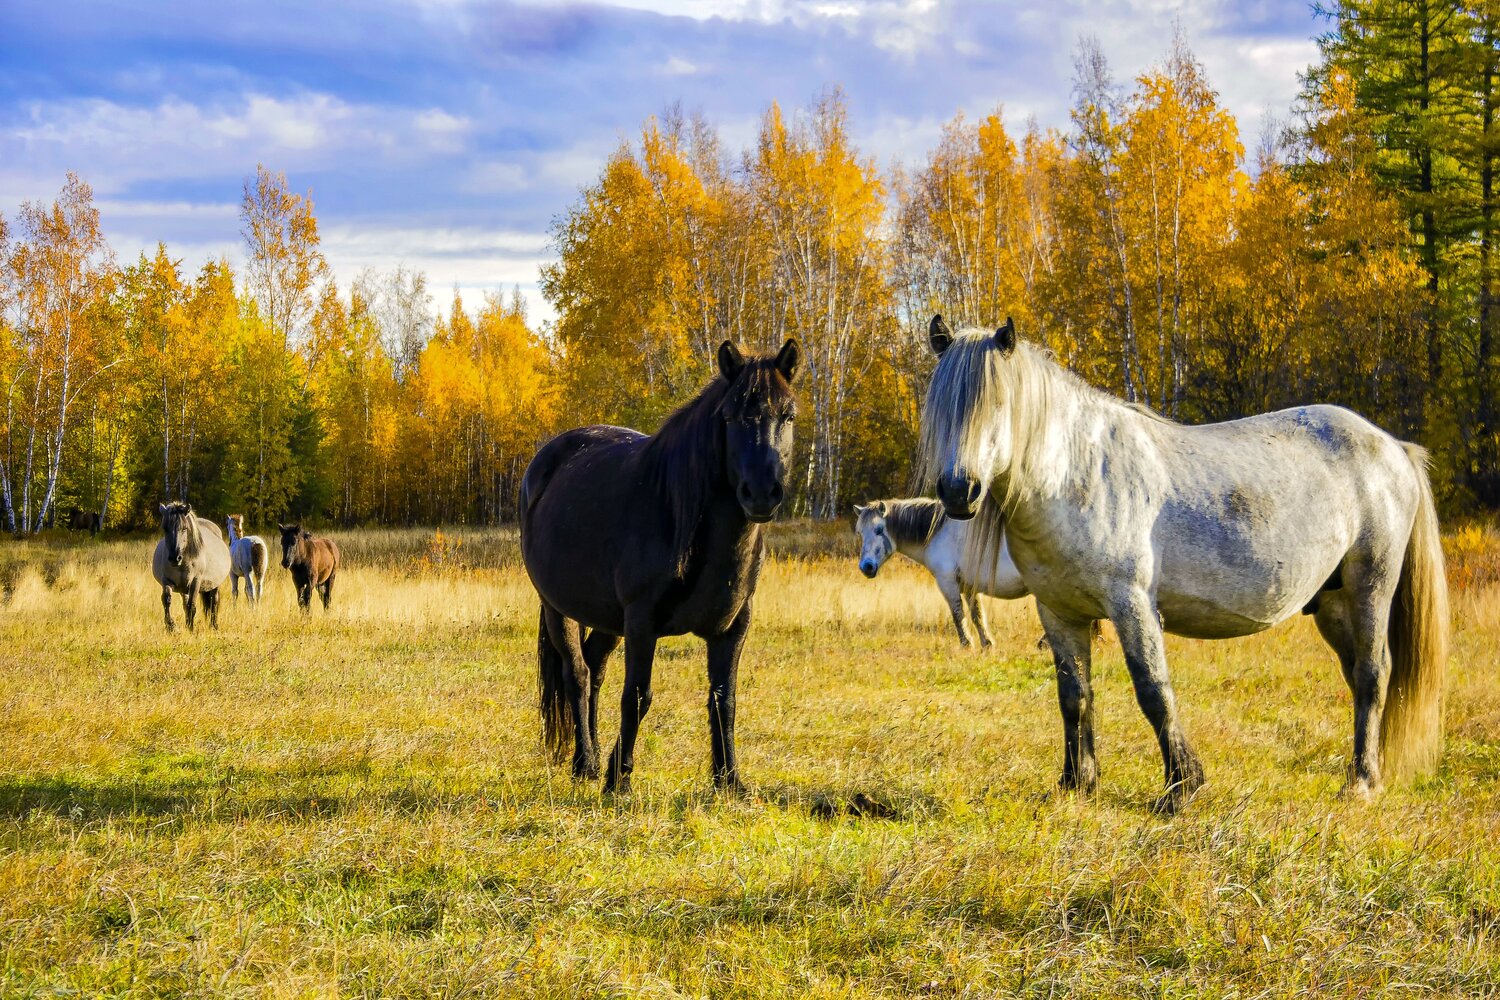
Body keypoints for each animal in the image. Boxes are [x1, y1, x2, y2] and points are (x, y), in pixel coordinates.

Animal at [151, 501, 231, 632]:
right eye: (165, 528)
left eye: (184, 528)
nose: (174, 558)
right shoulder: (166, 581)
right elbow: (167, 601)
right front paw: (171, 626)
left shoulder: (195, 582)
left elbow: (192, 606)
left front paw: (190, 628)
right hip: (184, 589)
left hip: (215, 585)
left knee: (214, 602)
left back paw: (214, 626)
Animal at [521, 338, 800, 793]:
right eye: (730, 417)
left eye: (787, 414)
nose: (761, 493)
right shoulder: (641, 621)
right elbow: (638, 696)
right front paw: (619, 779)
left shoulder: (734, 625)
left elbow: (724, 698)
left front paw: (729, 780)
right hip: (556, 607)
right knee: (576, 674)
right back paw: (586, 763)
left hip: (605, 617)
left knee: (594, 670)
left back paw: (593, 755)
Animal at [918, 315, 1448, 813]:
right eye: (940, 408)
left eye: (997, 405)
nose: (959, 492)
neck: (1078, 476)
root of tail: (1392, 446)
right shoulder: (1060, 613)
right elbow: (1074, 697)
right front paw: (1077, 784)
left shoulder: (1131, 604)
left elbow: (1153, 691)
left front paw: (1182, 788)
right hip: (1332, 603)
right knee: (1358, 676)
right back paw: (1366, 771)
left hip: (1370, 586)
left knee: (1374, 673)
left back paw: (1361, 783)